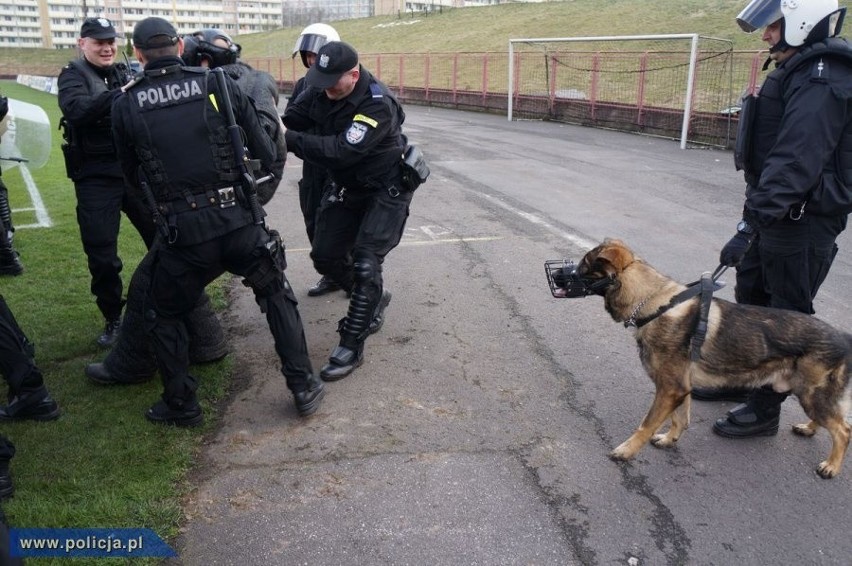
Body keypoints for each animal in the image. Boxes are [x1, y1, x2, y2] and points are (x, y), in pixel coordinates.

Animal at [552, 239, 852, 480]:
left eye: (582, 267)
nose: (554, 274)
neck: (655, 303)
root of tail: (843, 337)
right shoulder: (679, 389)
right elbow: (680, 419)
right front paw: (669, 439)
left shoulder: (669, 389)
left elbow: (646, 424)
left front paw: (626, 450)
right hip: (809, 394)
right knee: (832, 418)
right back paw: (809, 428)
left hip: (811, 394)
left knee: (843, 429)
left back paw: (831, 466)